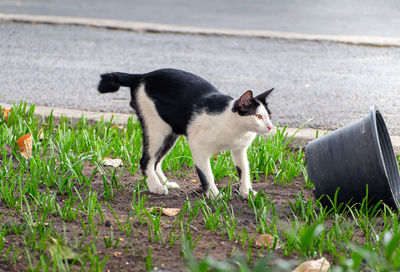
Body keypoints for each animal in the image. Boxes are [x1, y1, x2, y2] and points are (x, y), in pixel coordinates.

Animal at [97, 68, 272, 198]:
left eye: (269, 116)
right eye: (258, 116)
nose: (270, 127)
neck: (235, 128)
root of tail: (142, 76)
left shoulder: (239, 149)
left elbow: (244, 171)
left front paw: (246, 192)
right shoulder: (198, 145)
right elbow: (206, 173)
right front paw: (214, 196)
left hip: (170, 133)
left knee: (156, 161)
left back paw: (165, 183)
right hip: (156, 129)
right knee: (146, 160)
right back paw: (155, 186)